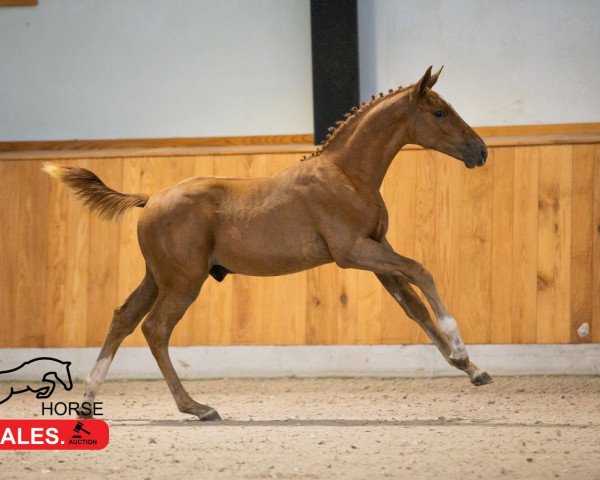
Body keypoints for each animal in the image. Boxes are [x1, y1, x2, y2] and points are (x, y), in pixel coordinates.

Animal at [43, 67, 492, 420]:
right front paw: (460, 347)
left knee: (123, 317)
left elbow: (413, 305)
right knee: (155, 329)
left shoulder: (376, 252)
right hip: (184, 281)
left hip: (158, 277)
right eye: (439, 112)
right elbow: (422, 271)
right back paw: (197, 407)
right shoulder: (353, 252)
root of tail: (150, 198)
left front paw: (472, 369)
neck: (345, 175)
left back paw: (88, 402)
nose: (481, 150)